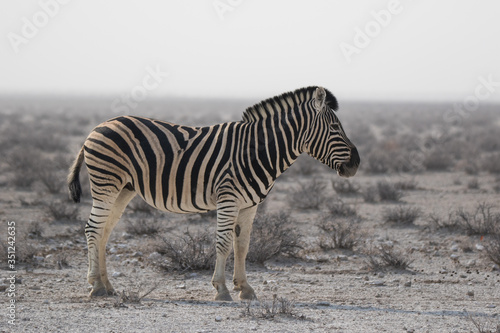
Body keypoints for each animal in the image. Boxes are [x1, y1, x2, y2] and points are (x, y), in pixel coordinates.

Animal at [67, 85, 360, 300]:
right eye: (335, 128)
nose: (356, 163)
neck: (259, 150)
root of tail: (99, 126)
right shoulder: (228, 199)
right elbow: (223, 242)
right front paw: (221, 289)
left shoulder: (249, 205)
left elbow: (242, 245)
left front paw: (245, 288)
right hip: (106, 183)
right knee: (93, 229)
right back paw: (95, 286)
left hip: (123, 189)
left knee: (104, 232)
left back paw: (107, 286)